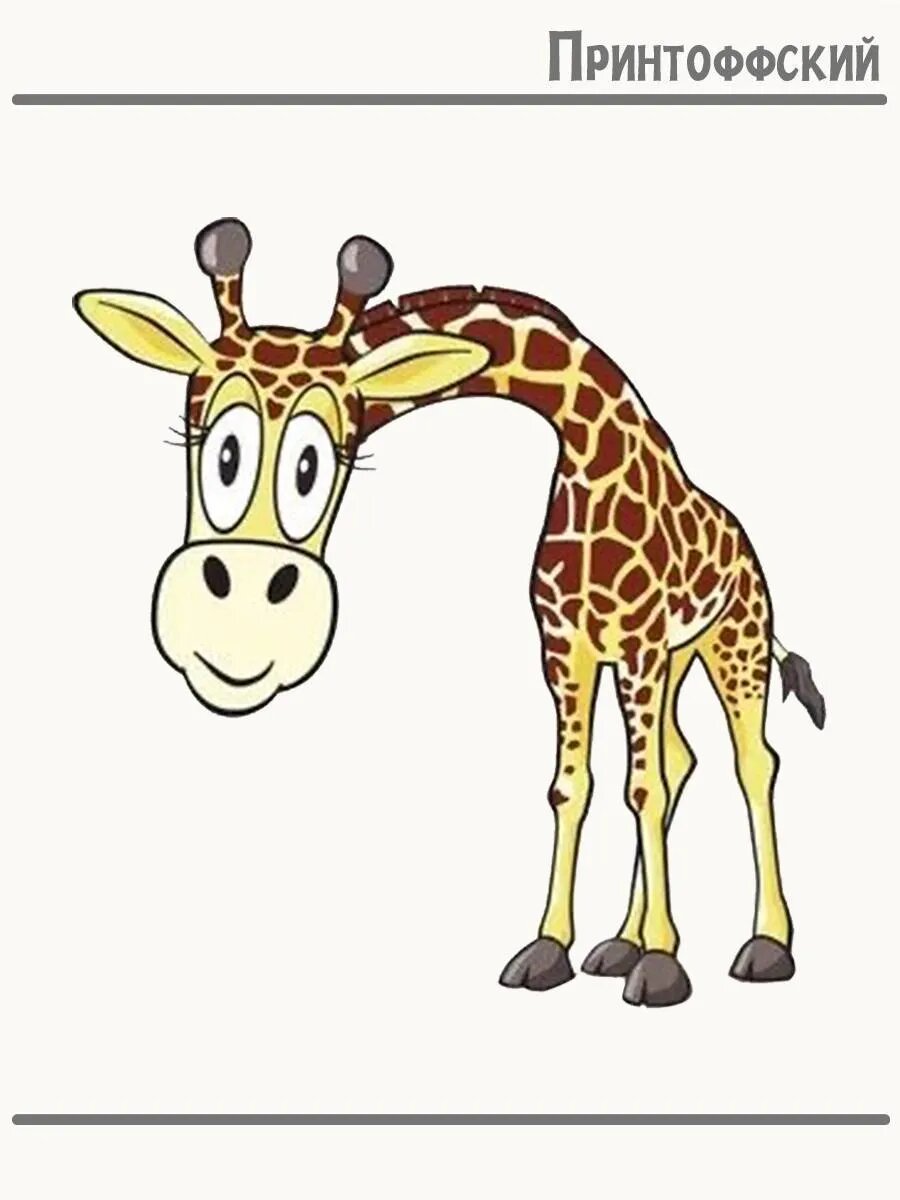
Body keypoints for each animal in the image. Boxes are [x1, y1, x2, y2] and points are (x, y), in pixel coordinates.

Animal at [74, 219, 825, 1007]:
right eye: (211, 447)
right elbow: (573, 787)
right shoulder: (567, 648)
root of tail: (745, 544)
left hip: (731, 641)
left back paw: (765, 945)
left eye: (316, 460)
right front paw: (553, 948)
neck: (590, 456)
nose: (234, 620)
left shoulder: (639, 642)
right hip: (675, 658)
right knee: (680, 758)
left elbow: (638, 788)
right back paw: (619, 943)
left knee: (752, 761)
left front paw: (662, 965)